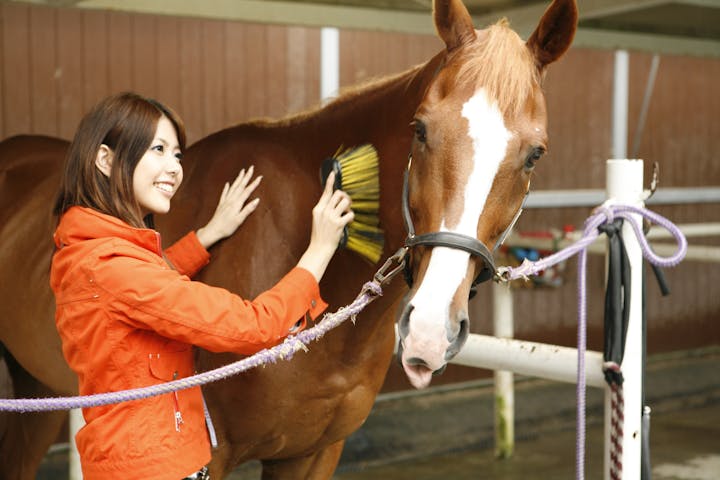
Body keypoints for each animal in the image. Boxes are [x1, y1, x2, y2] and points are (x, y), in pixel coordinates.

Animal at [0, 0, 577, 477]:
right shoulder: (215, 457)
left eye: (535, 154)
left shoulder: (314, 453)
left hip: (35, 392)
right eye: (420, 129)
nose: (430, 330)